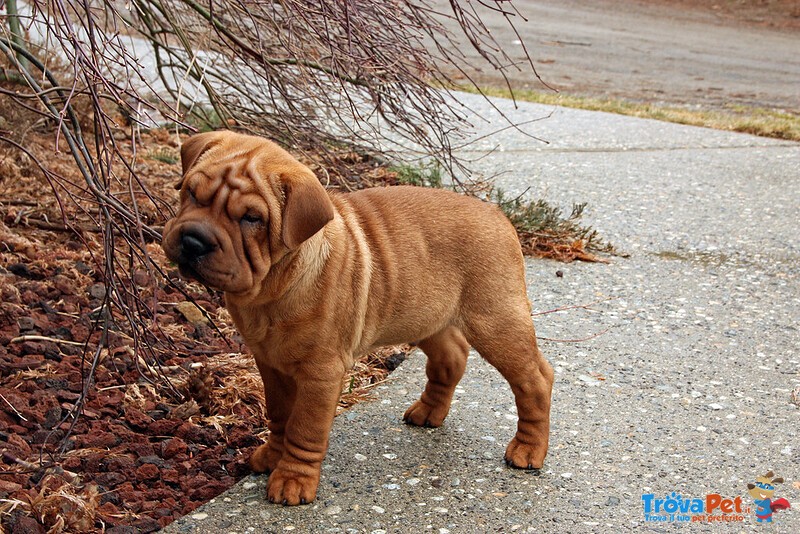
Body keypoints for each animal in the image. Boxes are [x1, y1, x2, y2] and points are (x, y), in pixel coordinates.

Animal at [160, 132, 552, 508]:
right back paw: (428, 412)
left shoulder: (321, 372)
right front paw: (272, 456)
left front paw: (292, 480)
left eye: (251, 218)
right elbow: (279, 415)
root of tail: (498, 215)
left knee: (535, 379)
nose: (193, 241)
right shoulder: (270, 363)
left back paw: (528, 449)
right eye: (191, 192)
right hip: (425, 315)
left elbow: (304, 427)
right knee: (451, 357)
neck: (271, 286)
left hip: (495, 320)